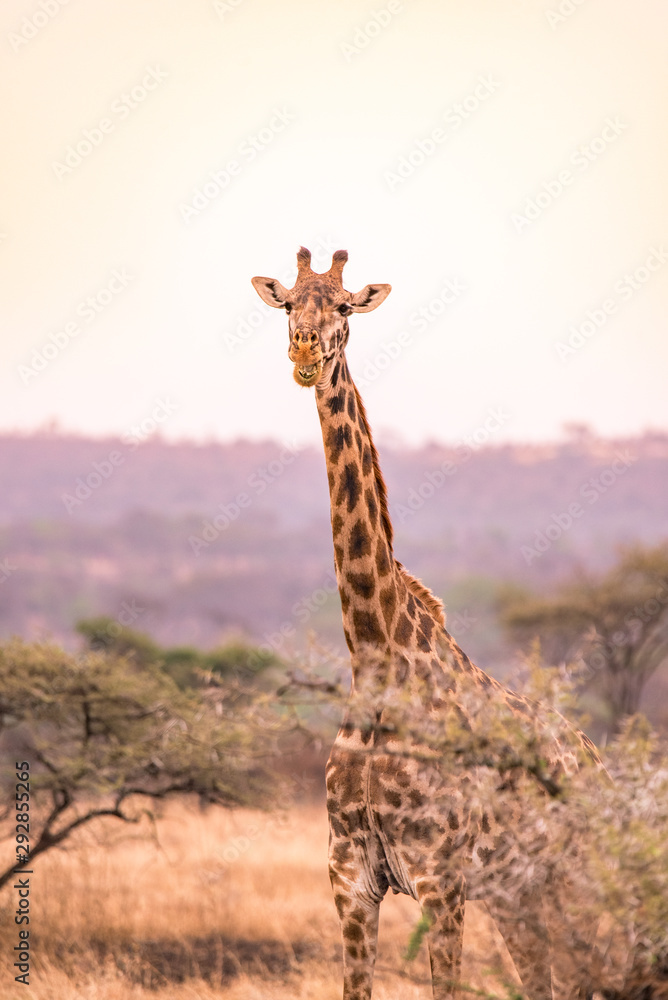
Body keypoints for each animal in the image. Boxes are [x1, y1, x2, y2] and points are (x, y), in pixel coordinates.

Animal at [251, 248, 599, 1000]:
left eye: (343, 305)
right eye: (289, 303)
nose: (304, 355)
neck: (378, 662)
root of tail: (595, 759)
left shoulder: (443, 876)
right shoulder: (350, 876)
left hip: (571, 878)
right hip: (522, 896)